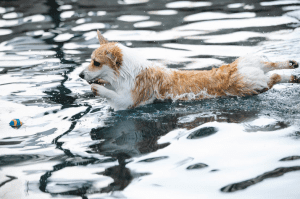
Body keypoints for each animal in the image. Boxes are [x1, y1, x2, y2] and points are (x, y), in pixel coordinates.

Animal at [78, 30, 298, 109]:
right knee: (272, 67)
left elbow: (112, 95)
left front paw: (97, 88)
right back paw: (292, 67)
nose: (79, 75)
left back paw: (290, 73)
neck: (126, 74)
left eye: (96, 63)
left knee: (274, 77)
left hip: (249, 84)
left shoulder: (128, 102)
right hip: (251, 68)